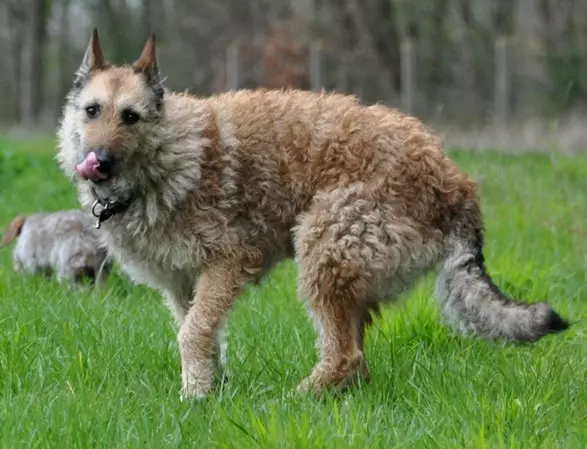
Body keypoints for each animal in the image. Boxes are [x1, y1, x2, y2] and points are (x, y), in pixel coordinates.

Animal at [56, 28, 568, 400]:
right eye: (92, 111)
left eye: (131, 117)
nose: (98, 161)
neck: (168, 158)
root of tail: (455, 183)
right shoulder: (184, 285)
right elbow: (200, 334)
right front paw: (209, 389)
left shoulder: (230, 262)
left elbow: (193, 334)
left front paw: (195, 398)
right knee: (356, 361)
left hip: (322, 251)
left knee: (345, 357)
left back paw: (293, 399)